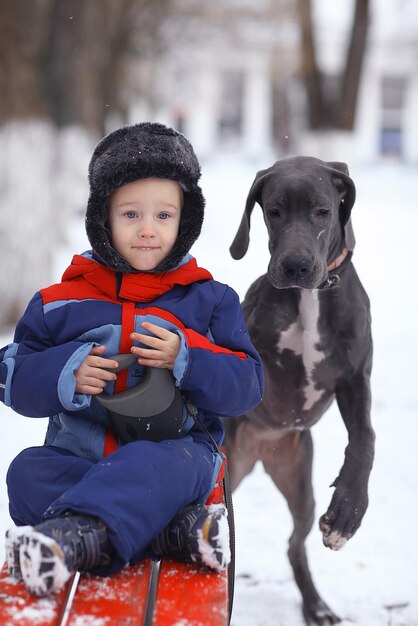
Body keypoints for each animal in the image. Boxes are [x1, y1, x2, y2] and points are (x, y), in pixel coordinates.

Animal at [225, 156, 376, 624]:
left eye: (322, 212)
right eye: (273, 211)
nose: (294, 266)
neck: (310, 300)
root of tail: (260, 451)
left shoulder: (354, 380)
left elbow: (365, 439)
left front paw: (348, 511)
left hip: (300, 488)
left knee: (295, 546)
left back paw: (316, 605)